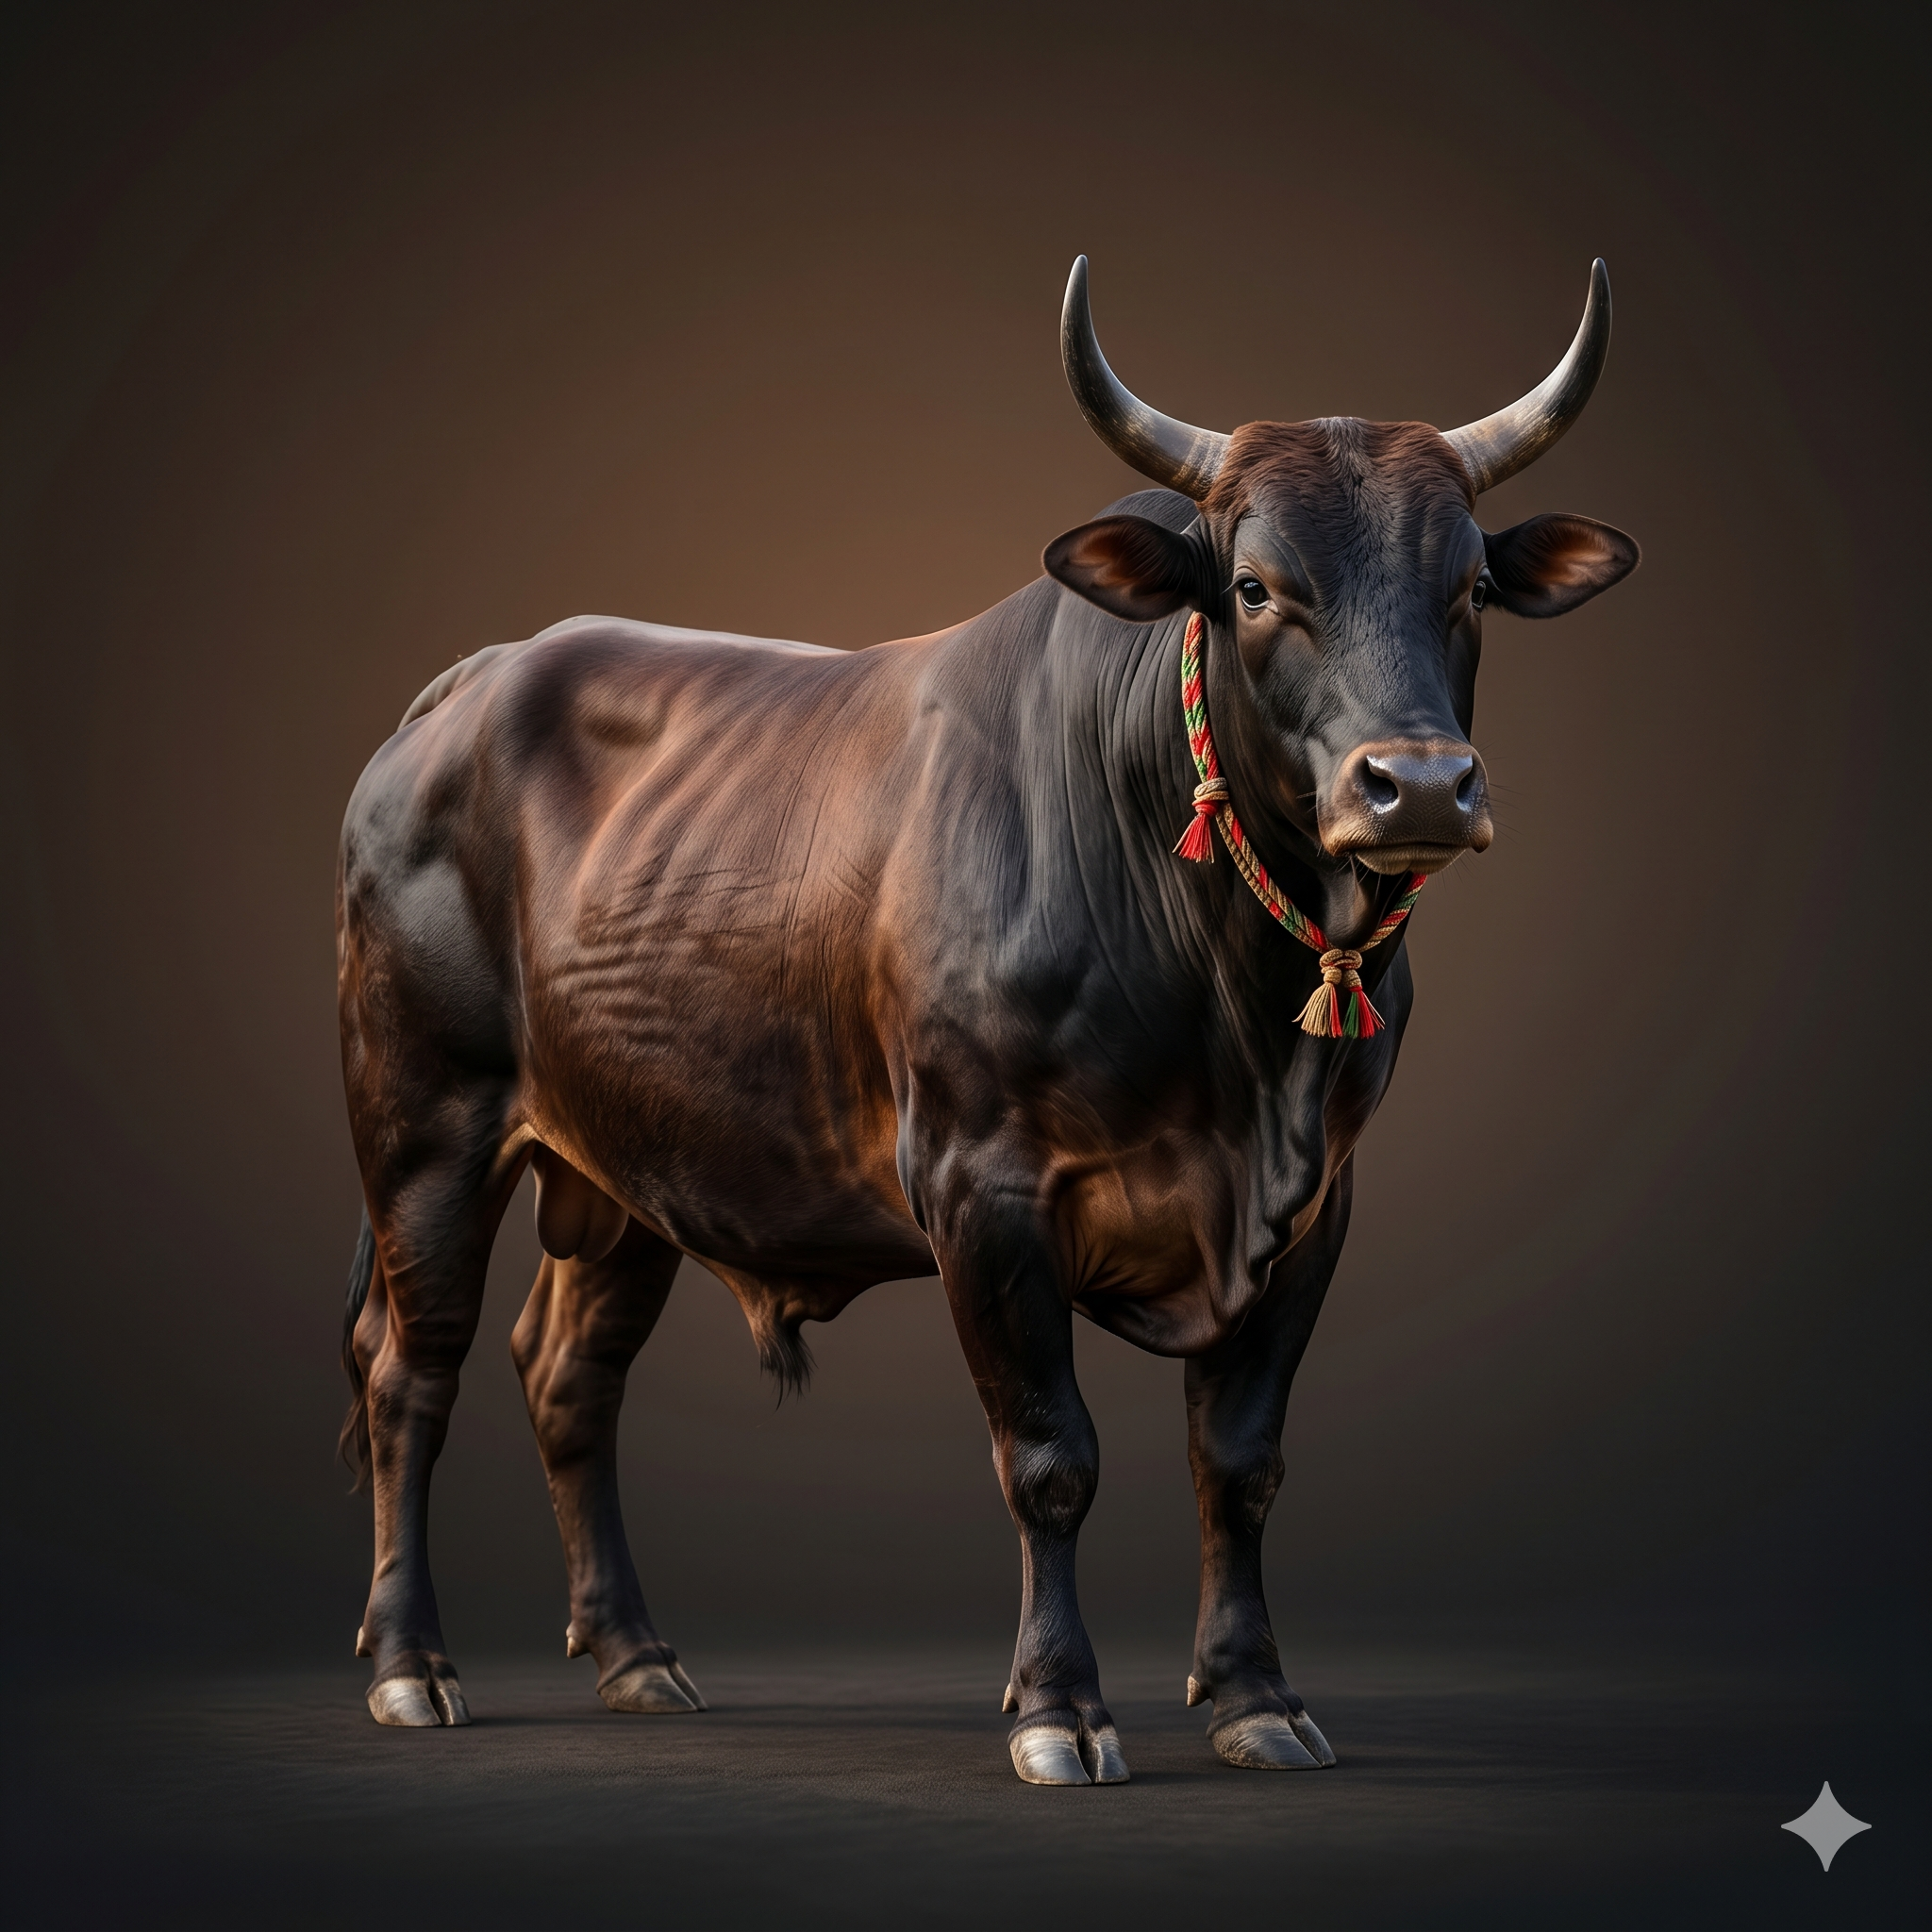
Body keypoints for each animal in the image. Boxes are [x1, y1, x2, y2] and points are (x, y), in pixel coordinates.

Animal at [336, 257, 1638, 1785]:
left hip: (623, 1165)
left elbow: (1240, 1461)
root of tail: (472, 680)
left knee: (568, 1372)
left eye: (1470, 583)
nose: (1420, 785)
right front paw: (1059, 1709)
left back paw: (636, 1658)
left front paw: (1254, 1696)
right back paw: (411, 1666)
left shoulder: (1317, 1207)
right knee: (412, 1371)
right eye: (1255, 585)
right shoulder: (982, 1186)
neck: (1238, 1028)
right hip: (424, 1128)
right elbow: (1050, 1456)